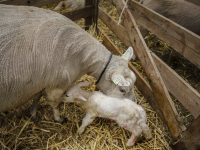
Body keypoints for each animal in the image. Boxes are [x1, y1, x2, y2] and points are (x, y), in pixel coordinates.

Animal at [0, 4, 137, 123]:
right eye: (122, 90)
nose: (134, 103)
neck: (80, 56)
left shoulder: (40, 83)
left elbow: (37, 97)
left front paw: (33, 114)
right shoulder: (55, 87)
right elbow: (55, 104)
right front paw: (59, 119)